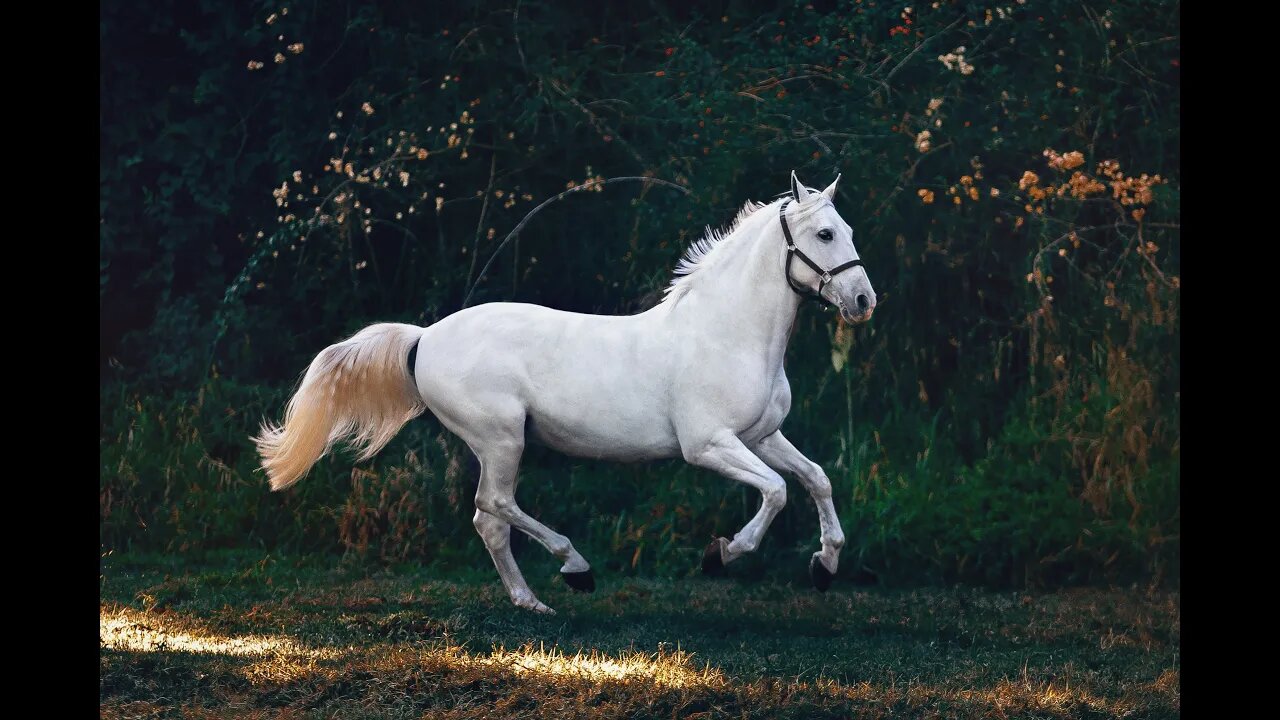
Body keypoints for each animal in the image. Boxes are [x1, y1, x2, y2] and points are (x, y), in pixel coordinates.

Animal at [259, 169, 880, 609]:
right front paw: (721, 555)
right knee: (493, 506)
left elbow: (816, 479)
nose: (862, 301)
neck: (727, 333)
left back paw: (532, 602)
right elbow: (775, 491)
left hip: (500, 444)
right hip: (501, 439)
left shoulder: (762, 435)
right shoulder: (708, 445)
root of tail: (424, 337)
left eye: (850, 231)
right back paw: (574, 569)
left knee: (489, 520)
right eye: (825, 233)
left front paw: (824, 566)